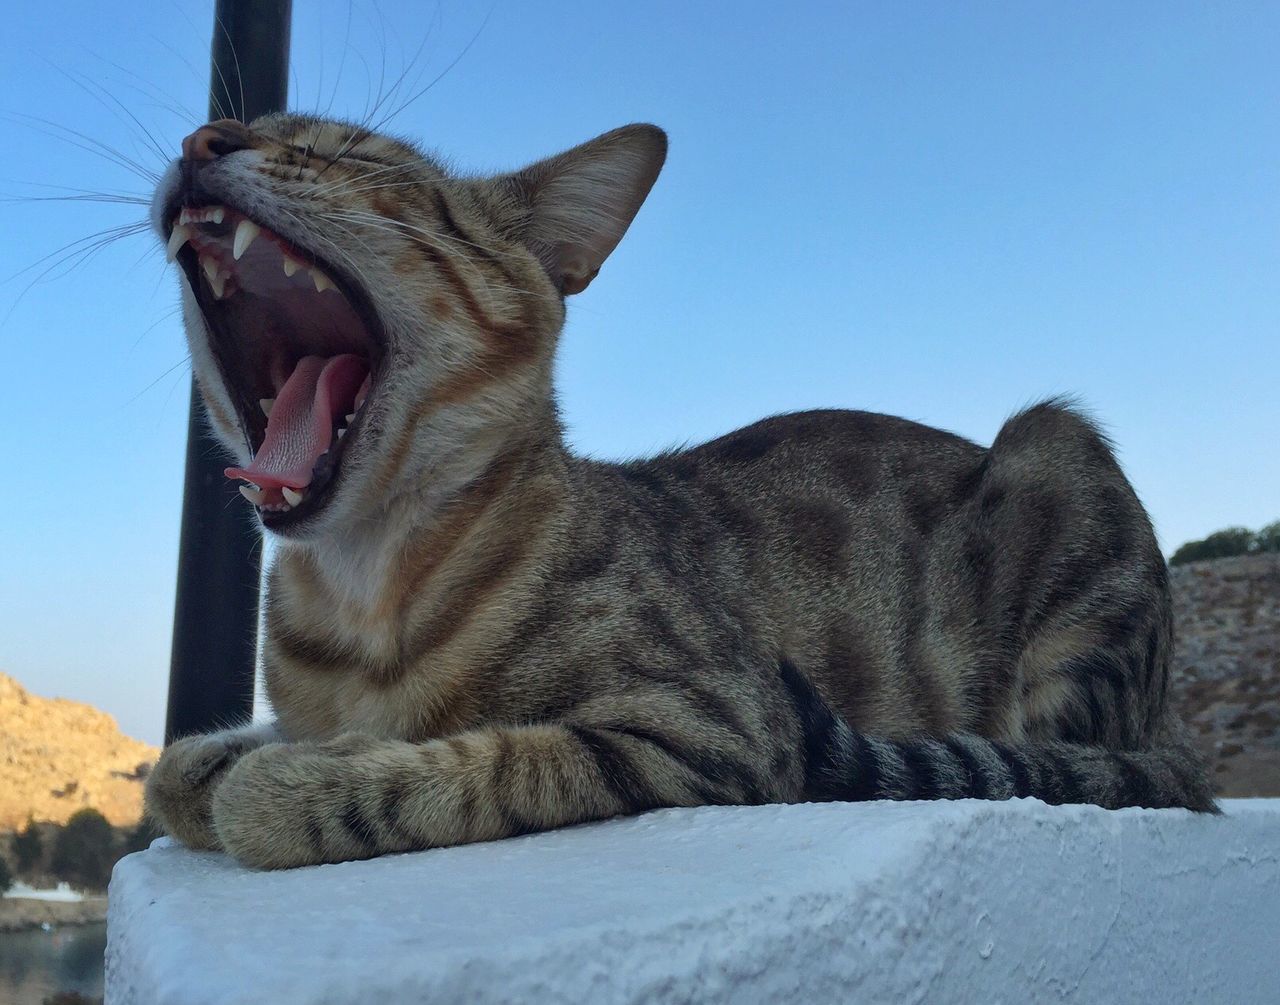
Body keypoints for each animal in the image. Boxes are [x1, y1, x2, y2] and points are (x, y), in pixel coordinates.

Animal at [145, 113, 1213, 870]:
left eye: (357, 157)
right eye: (235, 122)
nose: (204, 137)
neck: (360, 586)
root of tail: (1172, 730)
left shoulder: (717, 728)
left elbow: (486, 763)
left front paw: (295, 788)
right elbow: (176, 770)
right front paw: (240, 757)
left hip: (1055, 445)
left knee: (1081, 768)